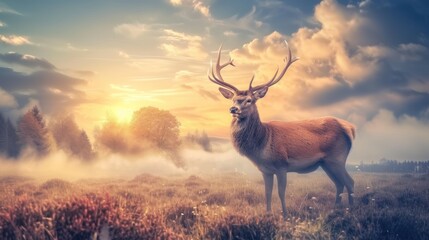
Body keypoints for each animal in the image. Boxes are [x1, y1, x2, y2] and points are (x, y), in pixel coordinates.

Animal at [207, 40, 354, 218]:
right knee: (339, 184)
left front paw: (285, 215)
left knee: (349, 182)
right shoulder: (265, 170)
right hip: (326, 163)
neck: (261, 144)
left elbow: (281, 192)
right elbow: (267, 192)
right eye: (233, 99)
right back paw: (335, 210)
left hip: (337, 157)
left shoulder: (282, 165)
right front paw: (268, 214)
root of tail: (349, 128)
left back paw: (352, 210)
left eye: (249, 100)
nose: (233, 109)